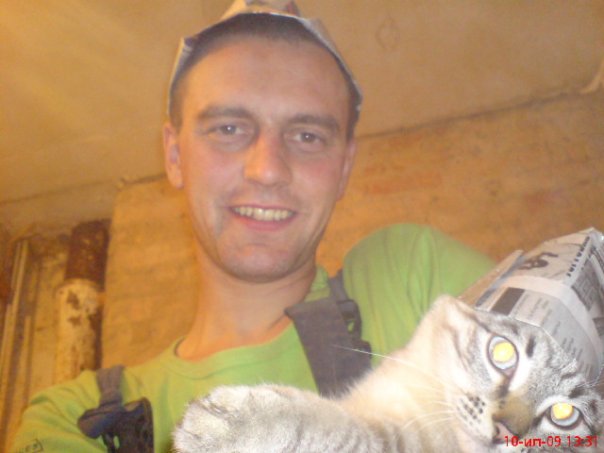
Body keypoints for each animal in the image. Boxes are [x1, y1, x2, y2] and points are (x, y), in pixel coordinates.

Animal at [172, 295, 604, 452]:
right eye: (503, 353)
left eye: (564, 415)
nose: (506, 429)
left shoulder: (386, 444)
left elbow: (327, 426)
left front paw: (226, 425)